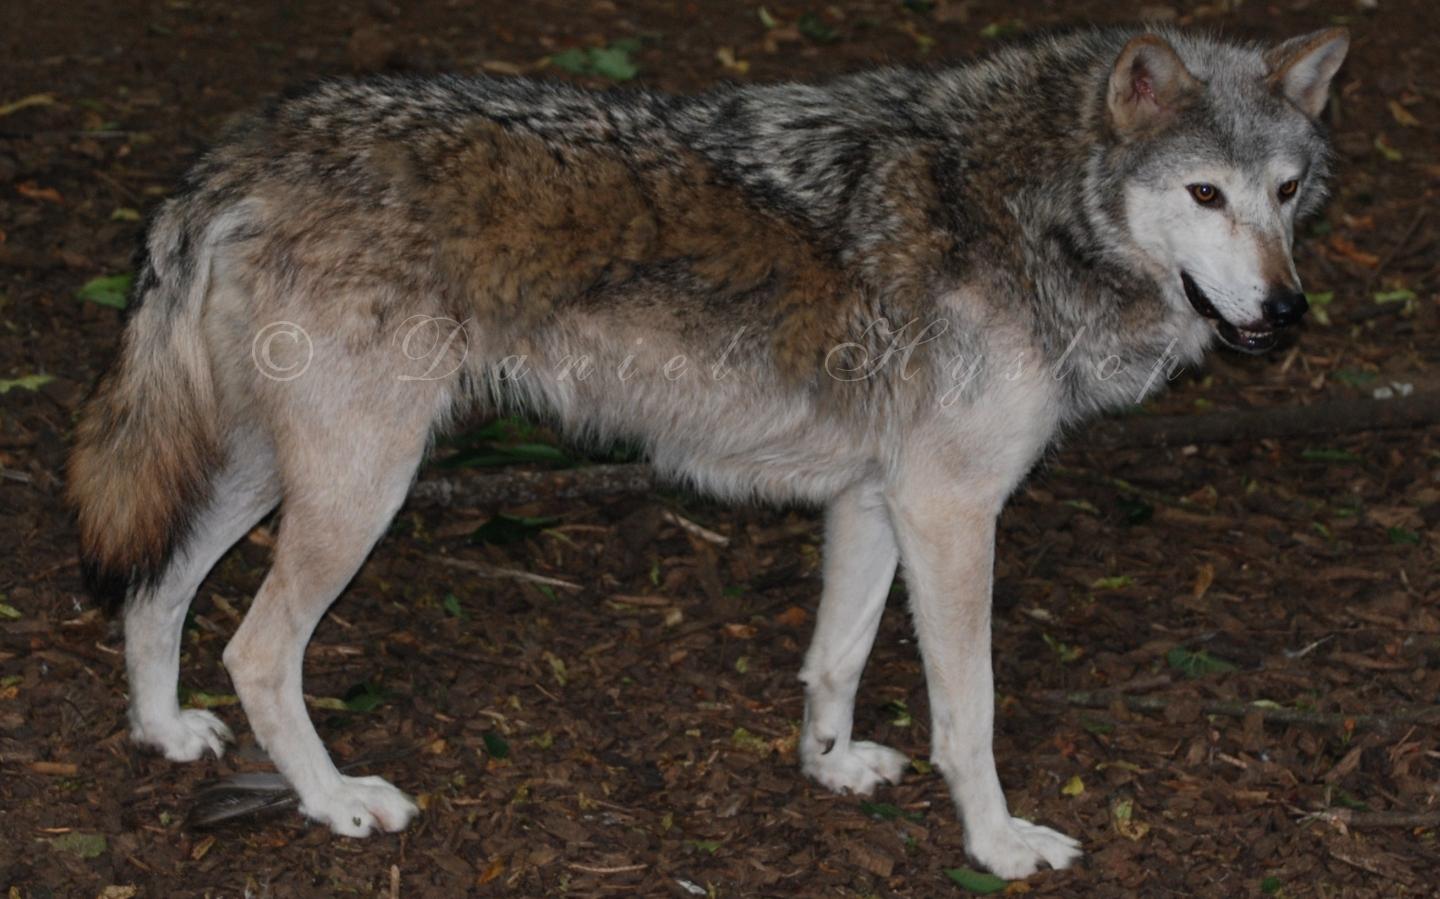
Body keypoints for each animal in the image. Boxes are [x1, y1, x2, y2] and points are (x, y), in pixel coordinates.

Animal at [68, 25, 1347, 877]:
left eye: (1287, 193)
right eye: (1204, 194)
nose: (1287, 311)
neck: (1028, 210)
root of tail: (233, 155)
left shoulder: (879, 500)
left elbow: (835, 658)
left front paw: (829, 766)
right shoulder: (952, 509)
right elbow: (969, 713)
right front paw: (995, 841)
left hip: (269, 471)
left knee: (154, 592)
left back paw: (163, 729)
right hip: (360, 488)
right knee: (254, 647)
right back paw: (334, 799)